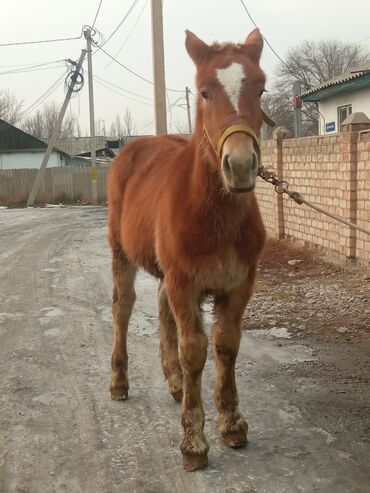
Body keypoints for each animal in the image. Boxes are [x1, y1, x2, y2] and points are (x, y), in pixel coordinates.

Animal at [108, 27, 268, 472]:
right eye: (204, 92)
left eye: (261, 88)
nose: (241, 165)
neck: (212, 212)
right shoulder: (185, 282)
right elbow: (194, 350)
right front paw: (193, 443)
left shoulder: (239, 284)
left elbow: (226, 345)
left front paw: (231, 423)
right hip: (121, 253)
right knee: (123, 308)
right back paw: (119, 381)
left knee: (162, 309)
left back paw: (176, 382)